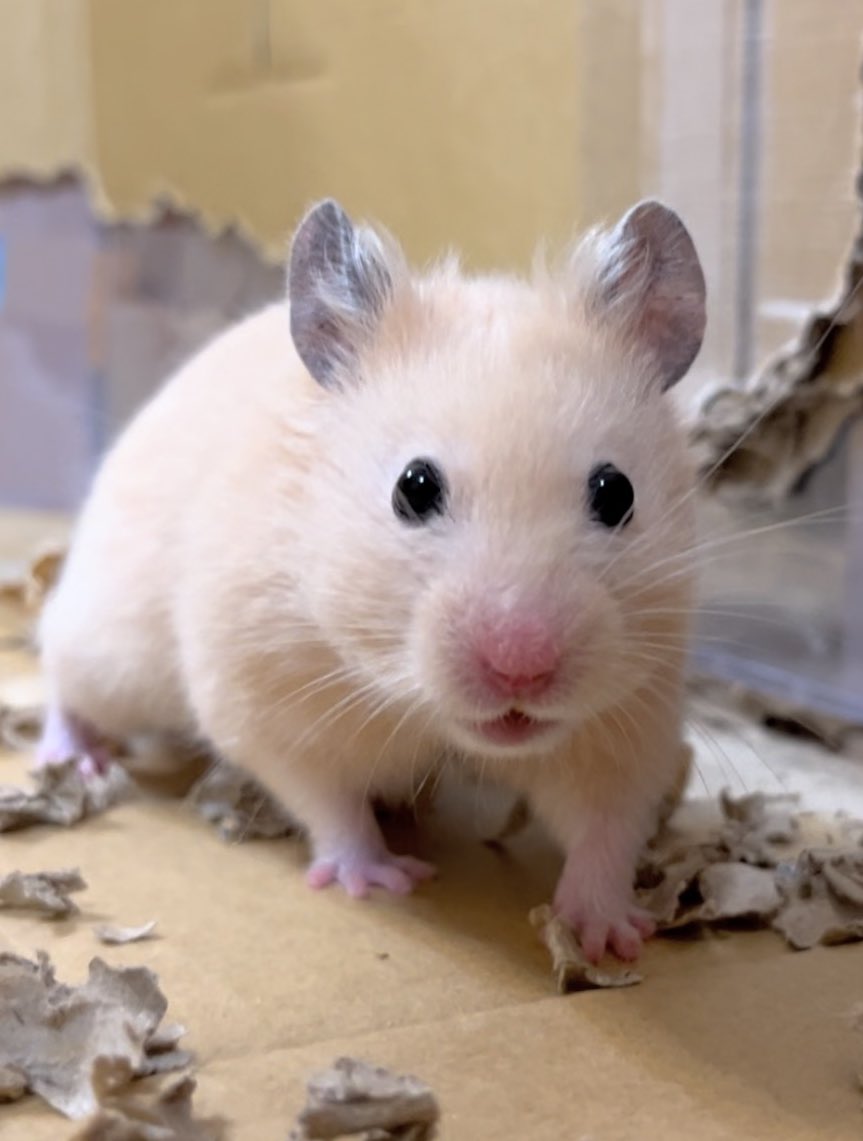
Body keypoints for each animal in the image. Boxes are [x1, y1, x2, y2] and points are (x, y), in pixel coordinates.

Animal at [37, 197, 705, 962]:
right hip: (112, 652)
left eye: (616, 492)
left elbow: (605, 826)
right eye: (413, 488)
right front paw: (383, 880)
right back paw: (73, 760)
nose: (522, 668)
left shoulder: (627, 722)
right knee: (59, 671)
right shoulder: (267, 704)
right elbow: (326, 799)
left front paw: (611, 937)